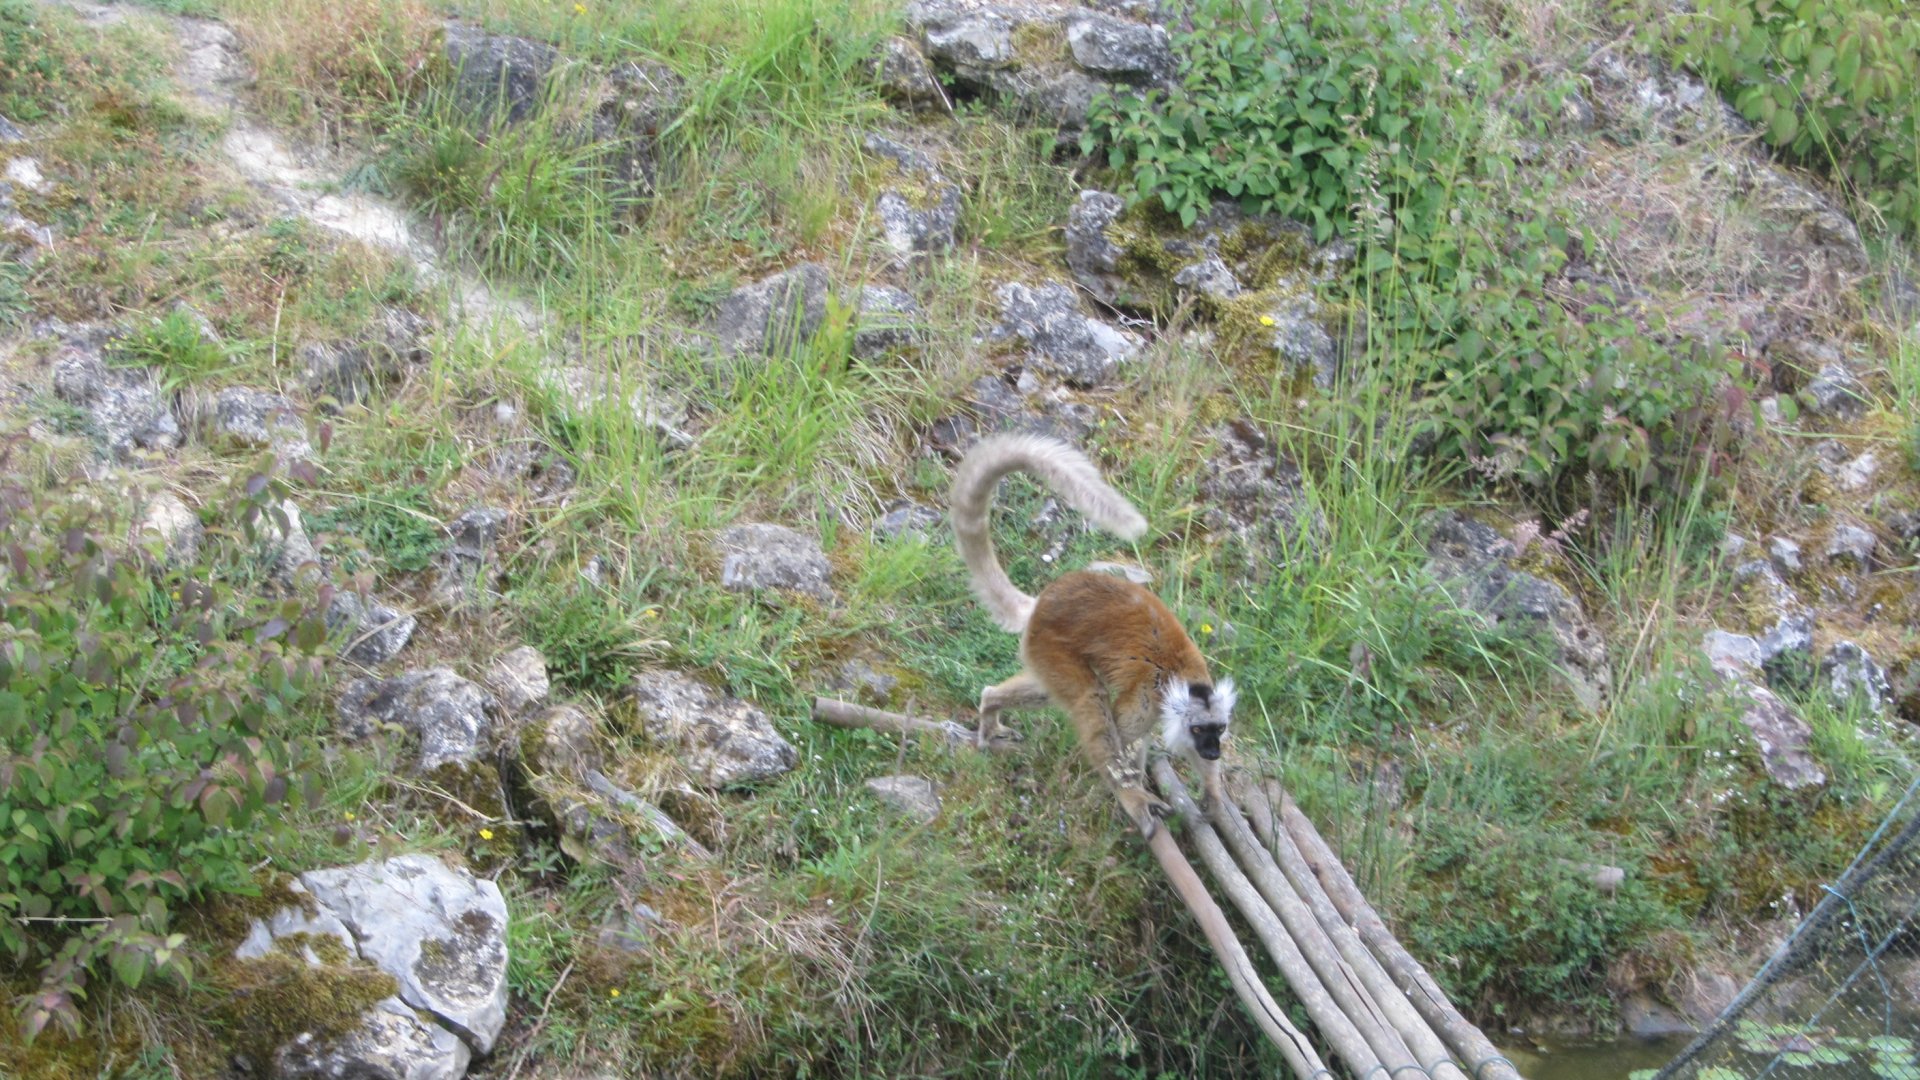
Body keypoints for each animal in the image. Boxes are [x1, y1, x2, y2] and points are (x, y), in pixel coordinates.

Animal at [950, 432, 1235, 837]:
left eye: (1218, 728)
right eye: (1199, 730)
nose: (1213, 750)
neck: (1183, 674)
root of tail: (1042, 602)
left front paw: (1211, 792)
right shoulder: (1148, 699)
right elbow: (1118, 733)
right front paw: (1132, 797)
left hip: (1040, 649)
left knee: (1045, 691)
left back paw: (990, 706)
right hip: (1050, 643)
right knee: (1089, 697)